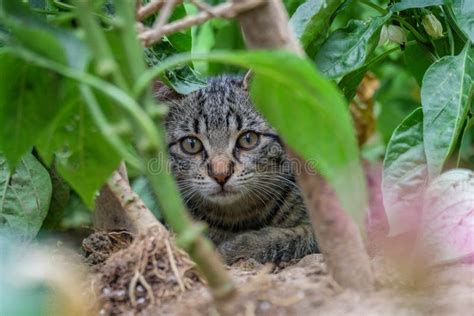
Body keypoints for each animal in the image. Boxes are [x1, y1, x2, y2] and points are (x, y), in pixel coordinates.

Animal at [160, 76, 318, 264]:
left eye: (248, 139)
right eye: (191, 144)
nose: (221, 174)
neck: (239, 215)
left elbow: (292, 237)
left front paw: (235, 247)